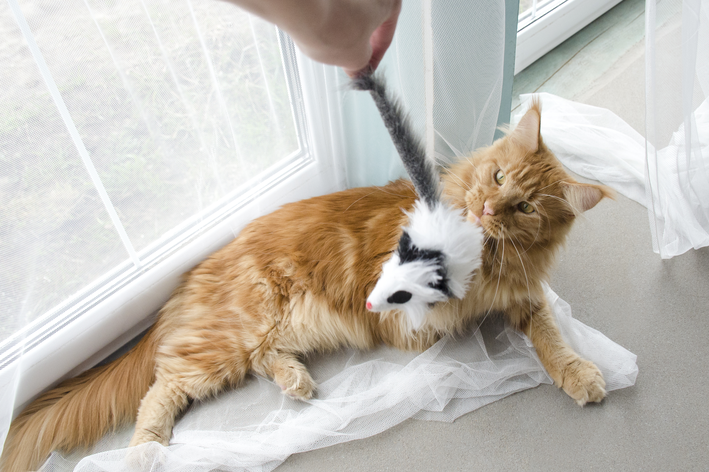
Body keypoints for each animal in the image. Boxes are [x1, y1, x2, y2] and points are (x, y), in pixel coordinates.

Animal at [0, 98, 608, 468]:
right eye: (499, 177)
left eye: (525, 206)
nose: (486, 208)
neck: (485, 259)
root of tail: (195, 276)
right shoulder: (403, 307)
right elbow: (435, 312)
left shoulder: (524, 298)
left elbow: (552, 339)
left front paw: (580, 374)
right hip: (228, 339)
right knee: (163, 386)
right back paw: (146, 451)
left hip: (274, 332)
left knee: (261, 360)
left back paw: (295, 382)